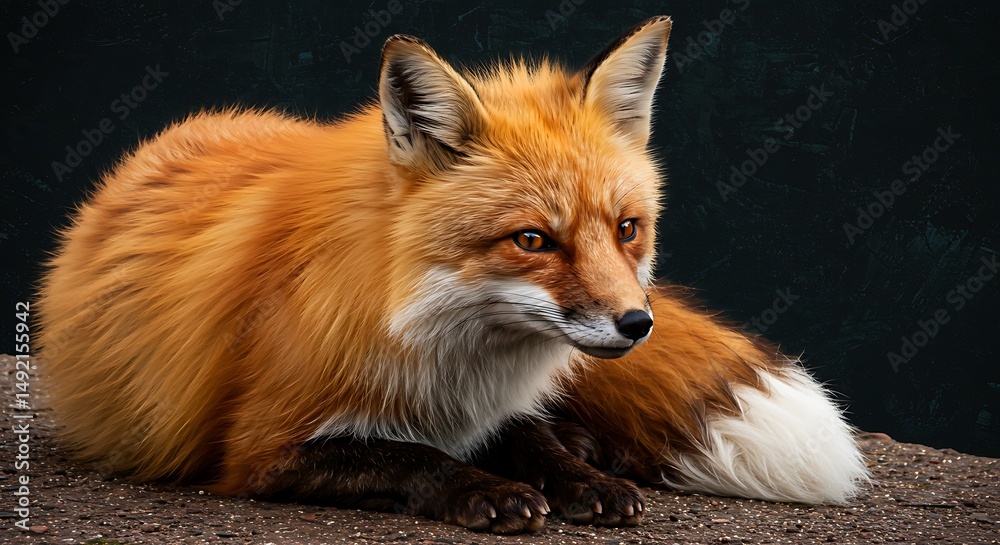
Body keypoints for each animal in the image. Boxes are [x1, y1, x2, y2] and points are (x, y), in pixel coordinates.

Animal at [38, 16, 868, 534]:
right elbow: (407, 453)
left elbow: (526, 437)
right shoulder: (257, 448)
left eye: (627, 229)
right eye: (533, 239)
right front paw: (483, 488)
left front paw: (577, 477)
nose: (638, 323)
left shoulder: (496, 405)